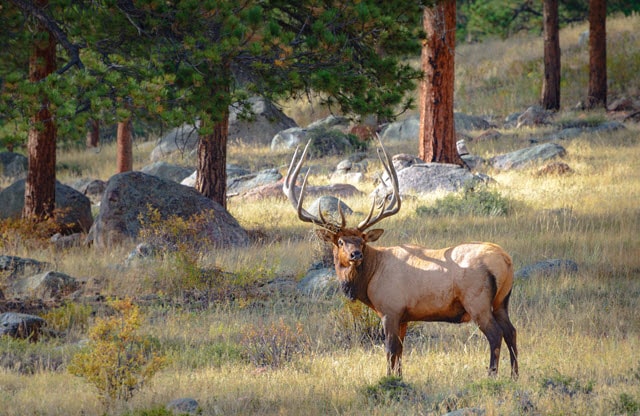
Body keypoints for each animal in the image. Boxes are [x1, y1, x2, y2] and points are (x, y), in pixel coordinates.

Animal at [284, 138, 520, 378]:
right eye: (340, 241)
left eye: (362, 240)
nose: (355, 254)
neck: (368, 281)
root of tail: (506, 261)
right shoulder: (404, 317)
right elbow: (400, 351)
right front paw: (399, 376)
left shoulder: (390, 309)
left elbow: (390, 349)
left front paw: (389, 378)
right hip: (502, 301)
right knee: (511, 331)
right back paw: (514, 375)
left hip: (477, 301)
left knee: (495, 334)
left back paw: (492, 375)